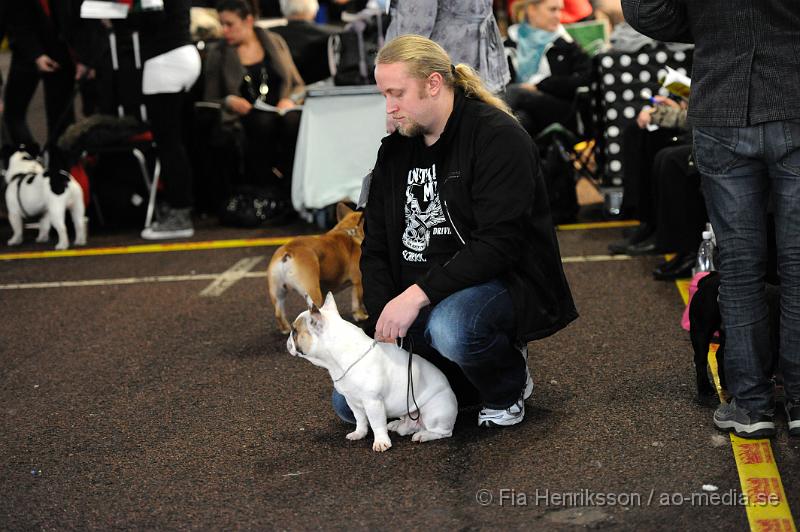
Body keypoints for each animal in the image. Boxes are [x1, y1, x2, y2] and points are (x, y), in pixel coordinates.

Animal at [268, 204, 368, 332]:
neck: (351, 232)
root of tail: (288, 251)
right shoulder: (358, 282)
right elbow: (357, 301)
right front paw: (360, 316)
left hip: (277, 291)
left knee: (278, 312)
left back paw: (285, 328)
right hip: (312, 290)